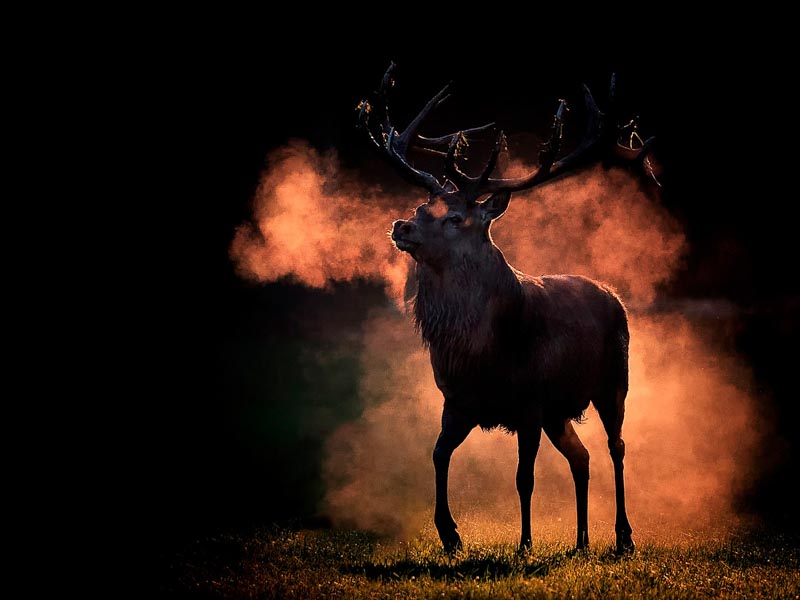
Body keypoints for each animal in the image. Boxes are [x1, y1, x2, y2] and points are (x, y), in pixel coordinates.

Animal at [357, 63, 657, 555]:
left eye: (455, 218)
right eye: (421, 207)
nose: (401, 225)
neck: (484, 355)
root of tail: (612, 294)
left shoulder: (530, 402)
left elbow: (524, 478)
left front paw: (524, 544)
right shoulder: (458, 401)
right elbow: (438, 454)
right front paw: (450, 534)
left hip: (614, 381)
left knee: (616, 447)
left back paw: (623, 535)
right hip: (560, 411)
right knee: (581, 456)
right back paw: (580, 541)